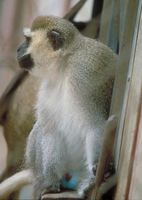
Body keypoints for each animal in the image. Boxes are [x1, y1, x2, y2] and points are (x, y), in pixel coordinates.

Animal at [0, 15, 117, 198]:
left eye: (27, 40)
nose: (18, 49)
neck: (64, 63)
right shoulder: (49, 86)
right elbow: (51, 130)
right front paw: (51, 181)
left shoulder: (83, 74)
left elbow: (94, 125)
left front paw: (98, 171)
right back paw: (46, 180)